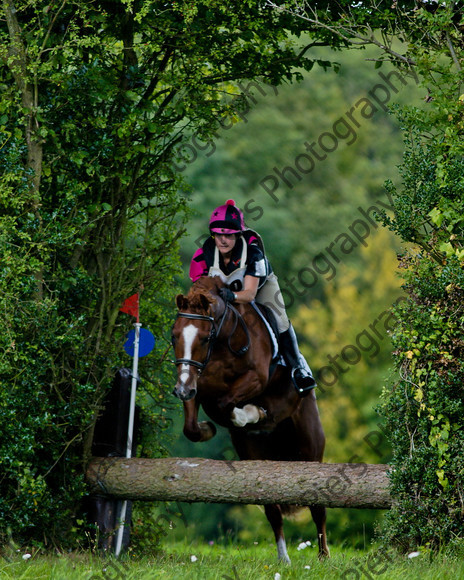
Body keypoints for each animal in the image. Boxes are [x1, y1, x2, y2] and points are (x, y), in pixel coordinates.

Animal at [171, 276, 330, 560]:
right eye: (174, 336)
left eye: (204, 337)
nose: (181, 390)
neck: (222, 342)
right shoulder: (194, 382)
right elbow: (191, 426)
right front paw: (208, 428)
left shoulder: (256, 377)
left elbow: (226, 405)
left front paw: (252, 414)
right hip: (255, 454)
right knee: (272, 510)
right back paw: (284, 559)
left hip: (310, 449)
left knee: (318, 507)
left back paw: (323, 558)